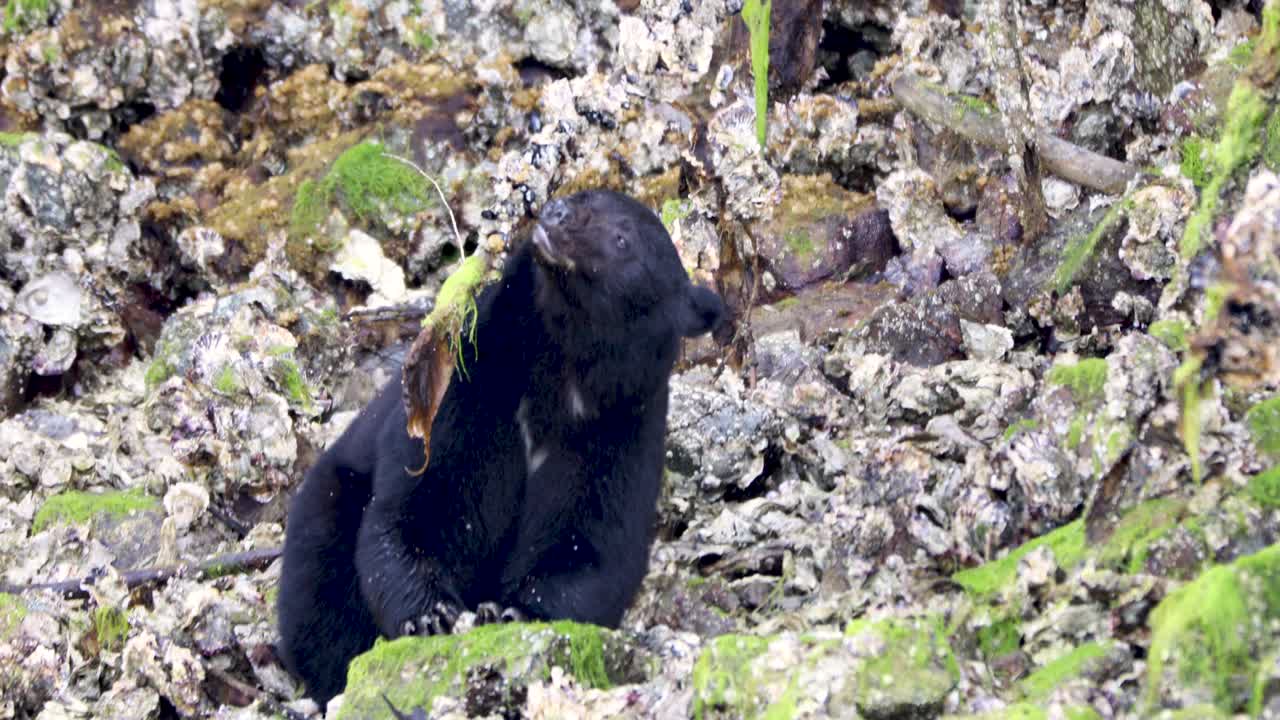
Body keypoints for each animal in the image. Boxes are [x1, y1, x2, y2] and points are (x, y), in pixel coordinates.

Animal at [276, 189, 724, 705]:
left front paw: (515, 612)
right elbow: (420, 507)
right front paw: (432, 614)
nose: (556, 214)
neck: (561, 365)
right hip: (329, 505)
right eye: (580, 196)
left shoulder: (617, 434)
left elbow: (592, 545)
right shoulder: (470, 394)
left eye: (621, 239)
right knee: (321, 592)